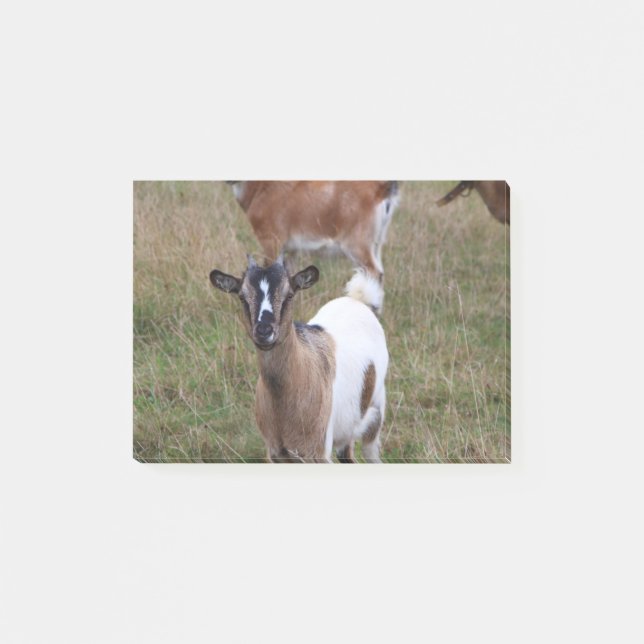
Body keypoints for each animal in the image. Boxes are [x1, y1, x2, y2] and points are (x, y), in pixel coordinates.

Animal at [209, 254, 388, 463]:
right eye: (242, 297)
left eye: (289, 295)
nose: (264, 331)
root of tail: (357, 300)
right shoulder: (276, 454)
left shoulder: (317, 453)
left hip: (375, 413)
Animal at [227, 181, 399, 309]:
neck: (263, 188)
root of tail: (381, 189)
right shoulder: (291, 251)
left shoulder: (272, 241)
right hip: (376, 245)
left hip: (357, 246)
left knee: (374, 273)